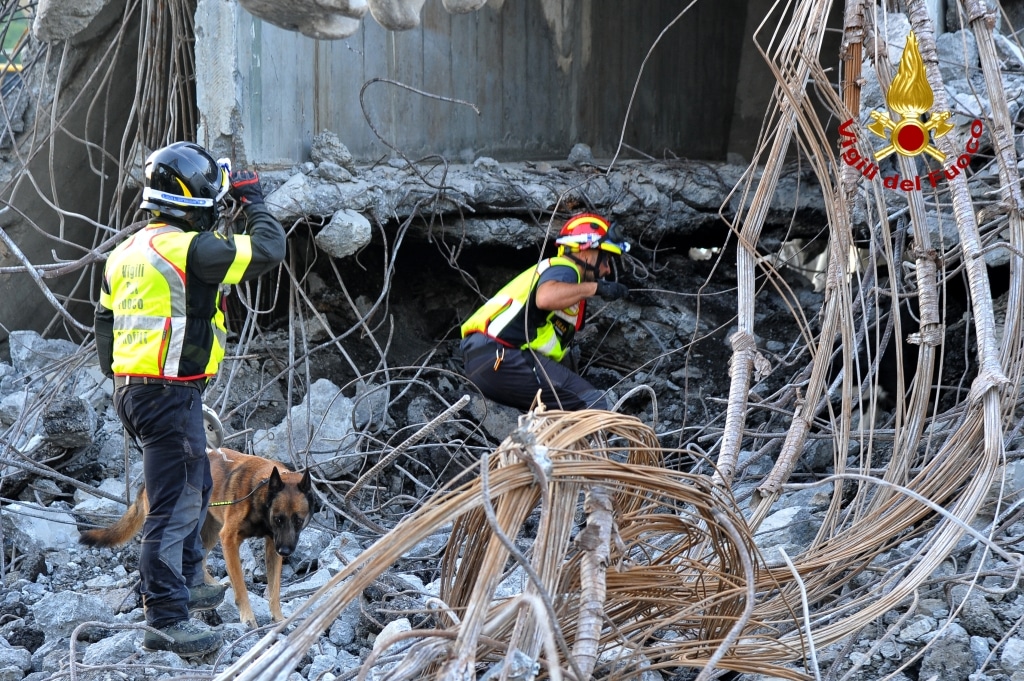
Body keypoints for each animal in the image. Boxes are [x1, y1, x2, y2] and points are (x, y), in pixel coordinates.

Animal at [79, 446, 313, 626]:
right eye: (278, 519)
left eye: (298, 520)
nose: (286, 551)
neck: (260, 490)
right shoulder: (230, 540)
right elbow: (241, 586)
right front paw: (248, 617)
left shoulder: (272, 544)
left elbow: (274, 589)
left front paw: (279, 618)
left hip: (208, 532)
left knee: (200, 561)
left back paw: (212, 588)